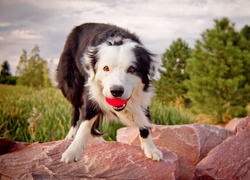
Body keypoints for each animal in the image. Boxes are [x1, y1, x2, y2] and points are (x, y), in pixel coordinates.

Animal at [57, 22, 165, 163]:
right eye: (106, 68)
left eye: (131, 69)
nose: (116, 91)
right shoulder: (91, 93)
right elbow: (85, 123)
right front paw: (73, 150)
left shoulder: (142, 96)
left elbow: (144, 121)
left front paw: (150, 148)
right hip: (71, 84)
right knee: (75, 109)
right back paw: (71, 134)